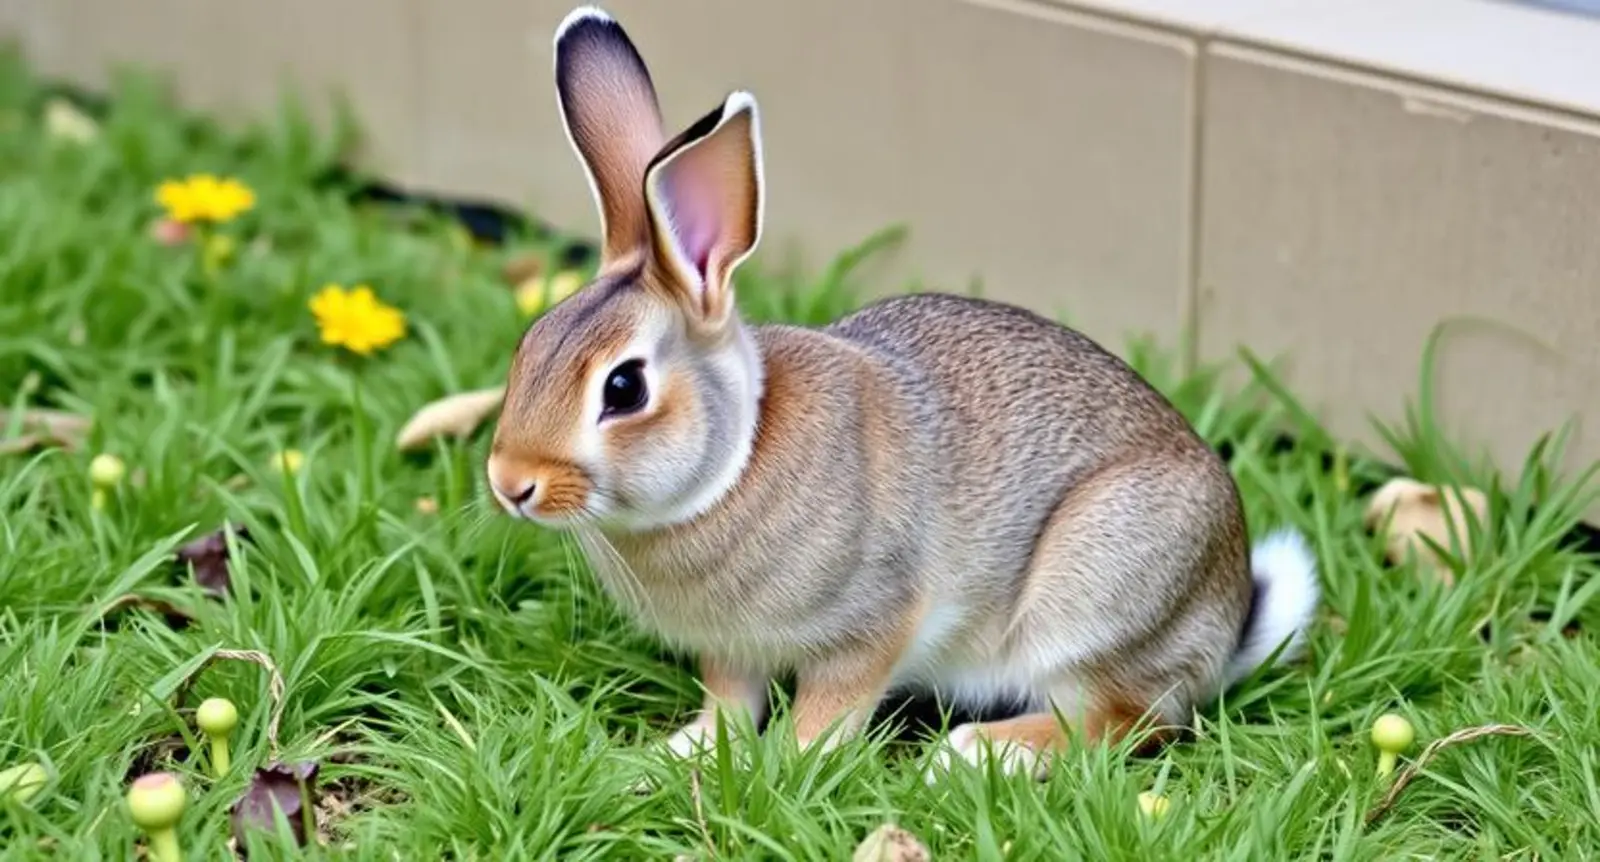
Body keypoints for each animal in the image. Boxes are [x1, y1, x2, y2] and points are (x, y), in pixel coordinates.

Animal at [485, 4, 1320, 780]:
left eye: (624, 388)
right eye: (529, 347)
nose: (510, 484)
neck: (735, 459)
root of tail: (1226, 617)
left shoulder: (873, 625)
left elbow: (830, 710)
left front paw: (791, 768)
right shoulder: (734, 651)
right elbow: (729, 706)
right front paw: (679, 755)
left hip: (1094, 594)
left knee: (1130, 720)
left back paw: (973, 752)